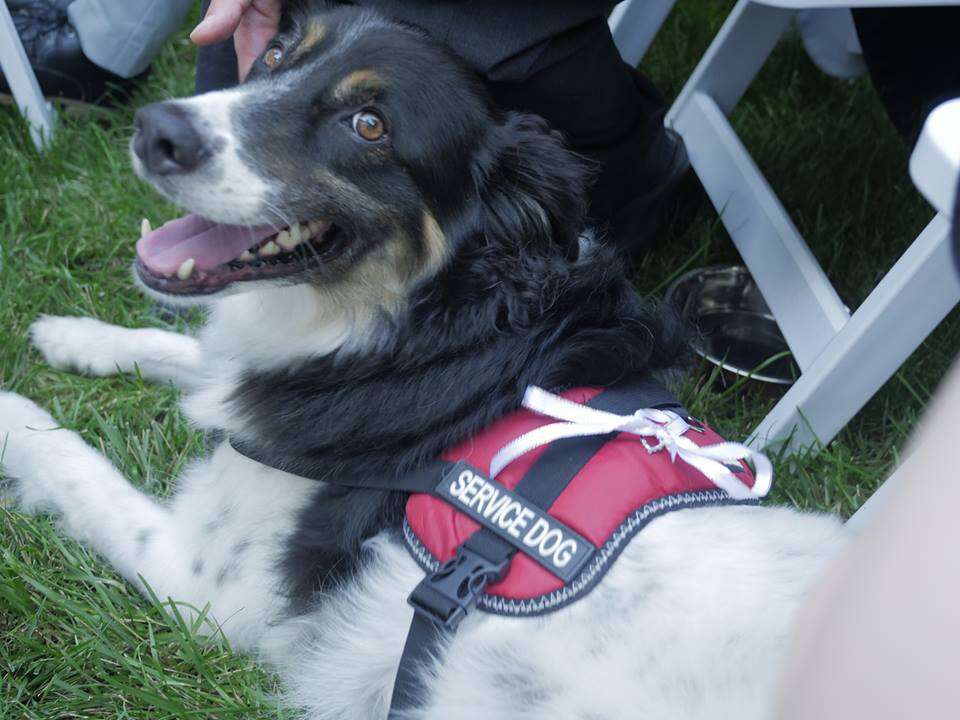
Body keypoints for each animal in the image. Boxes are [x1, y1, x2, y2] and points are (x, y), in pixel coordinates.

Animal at [0, 2, 844, 716]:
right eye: (273, 54)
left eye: (369, 124)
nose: (156, 129)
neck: (430, 328)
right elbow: (187, 351)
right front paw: (76, 335)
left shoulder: (201, 582)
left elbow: (72, 461)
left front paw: (13, 409)